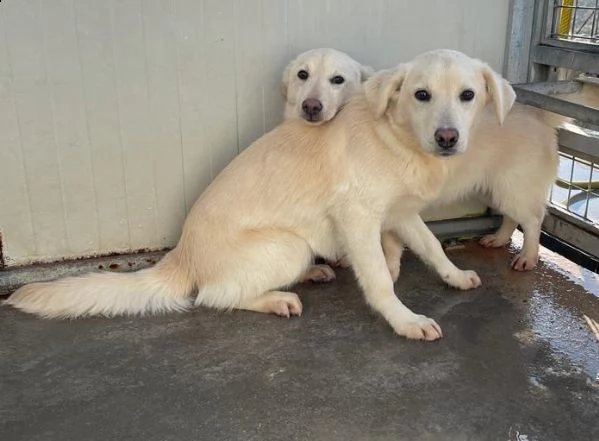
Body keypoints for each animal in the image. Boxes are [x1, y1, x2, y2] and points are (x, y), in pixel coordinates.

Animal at [4, 50, 520, 340]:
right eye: (421, 95)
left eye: (468, 95)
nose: (448, 138)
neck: (394, 136)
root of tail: (180, 257)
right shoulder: (358, 218)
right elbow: (377, 278)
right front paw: (405, 320)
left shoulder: (401, 214)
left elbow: (432, 247)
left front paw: (455, 276)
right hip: (286, 244)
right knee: (212, 295)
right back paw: (276, 299)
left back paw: (311, 274)